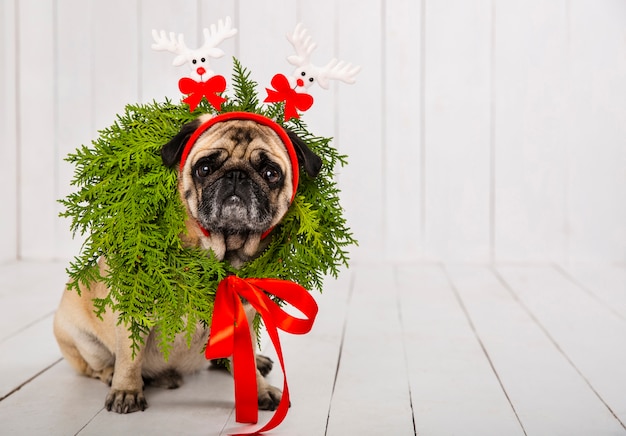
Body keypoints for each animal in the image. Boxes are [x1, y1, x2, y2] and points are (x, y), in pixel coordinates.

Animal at [53, 112, 322, 412]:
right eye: (204, 168)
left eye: (270, 173)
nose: (236, 175)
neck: (221, 250)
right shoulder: (134, 309)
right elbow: (129, 357)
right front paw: (126, 390)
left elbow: (247, 362)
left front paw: (258, 390)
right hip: (83, 341)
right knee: (96, 366)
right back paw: (117, 375)